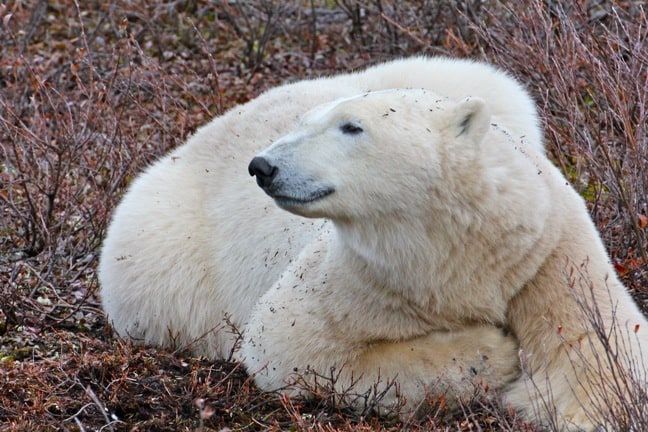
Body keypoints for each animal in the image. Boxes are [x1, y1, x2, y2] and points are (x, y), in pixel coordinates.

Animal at [246, 89, 648, 430]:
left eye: (351, 126)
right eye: (301, 122)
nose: (262, 166)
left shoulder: (543, 258)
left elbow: (596, 344)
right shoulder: (356, 281)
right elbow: (288, 343)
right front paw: (493, 351)